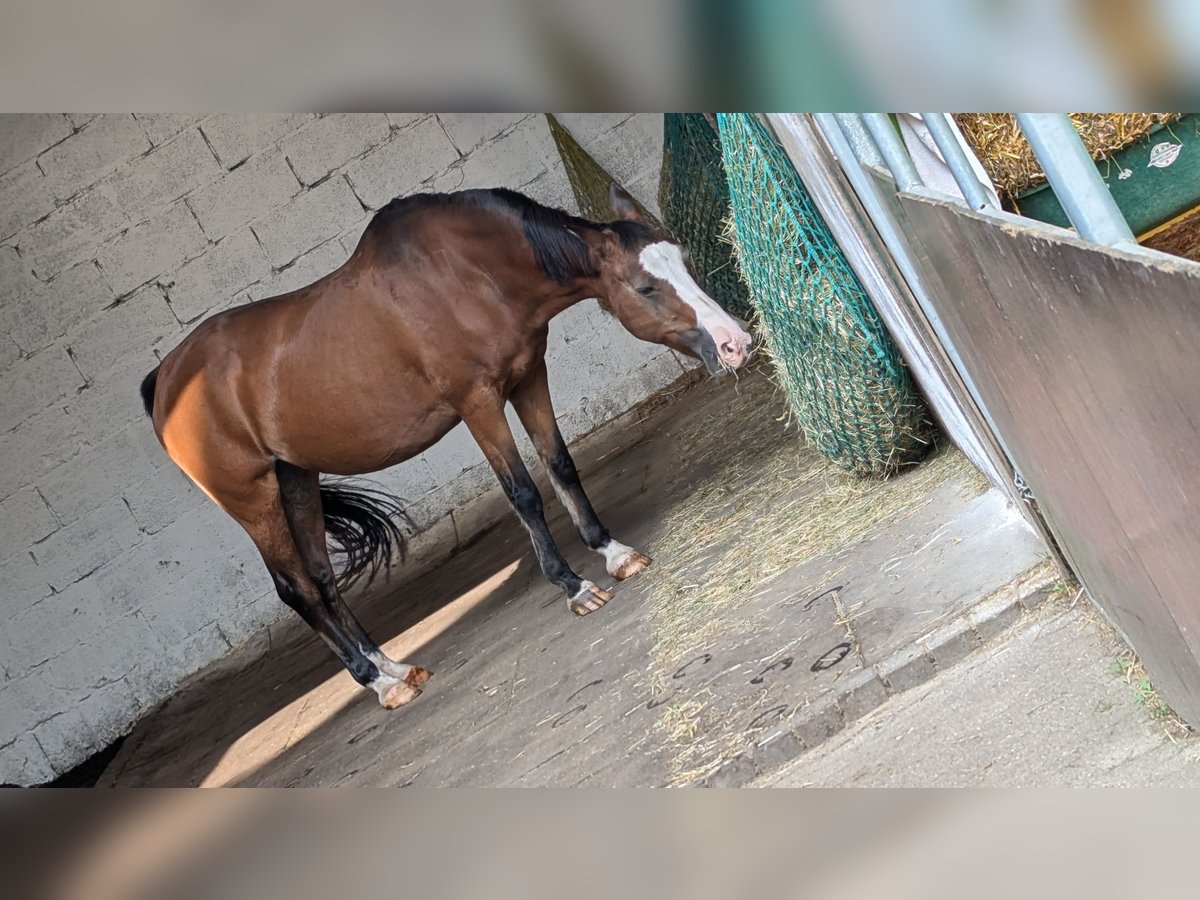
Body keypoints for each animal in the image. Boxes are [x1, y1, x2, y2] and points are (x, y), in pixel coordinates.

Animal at [140, 183, 748, 710]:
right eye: (646, 287)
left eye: (685, 260)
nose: (736, 344)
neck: (469, 275)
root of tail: (164, 383)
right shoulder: (477, 403)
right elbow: (524, 493)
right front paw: (574, 586)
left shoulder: (530, 377)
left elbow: (561, 466)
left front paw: (614, 552)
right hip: (254, 499)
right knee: (297, 591)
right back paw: (378, 685)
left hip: (296, 478)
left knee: (322, 580)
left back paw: (393, 668)